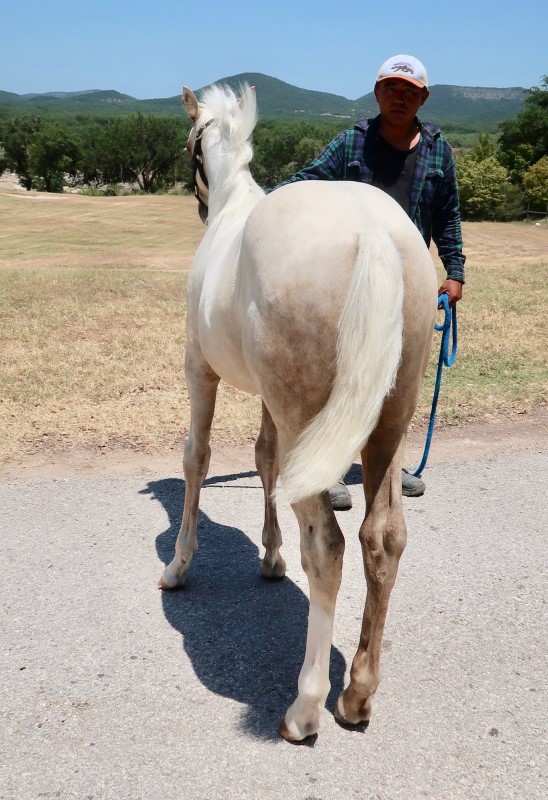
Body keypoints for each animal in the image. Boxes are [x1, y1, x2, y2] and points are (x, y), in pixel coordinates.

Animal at [158, 83, 436, 744]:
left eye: (189, 147)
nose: (197, 208)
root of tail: (374, 233)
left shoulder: (198, 370)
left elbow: (196, 458)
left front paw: (179, 566)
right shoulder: (271, 405)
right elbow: (262, 462)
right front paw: (269, 556)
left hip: (307, 417)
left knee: (329, 547)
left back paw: (306, 707)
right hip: (386, 423)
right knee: (382, 537)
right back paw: (357, 695)